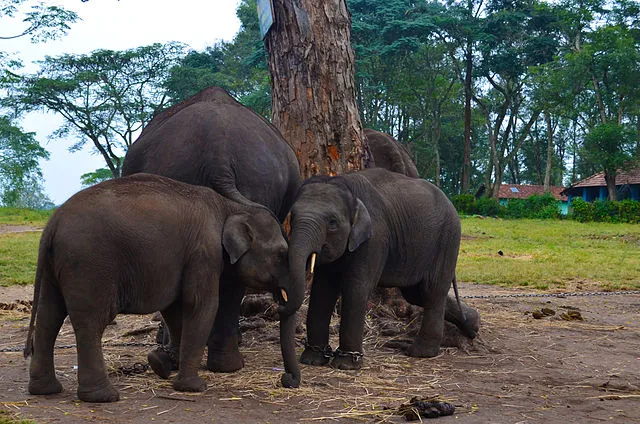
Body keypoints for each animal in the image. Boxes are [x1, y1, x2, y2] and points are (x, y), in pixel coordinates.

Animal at [25, 174, 302, 402]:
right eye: (281, 254)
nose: (286, 380)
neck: (231, 207)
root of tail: (52, 224)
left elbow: (175, 308)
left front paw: (162, 364)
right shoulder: (204, 252)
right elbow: (201, 305)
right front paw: (193, 387)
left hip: (54, 268)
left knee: (49, 316)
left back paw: (45, 390)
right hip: (89, 264)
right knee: (91, 322)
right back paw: (103, 397)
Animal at [284, 167, 476, 370]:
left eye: (332, 222)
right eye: (292, 217)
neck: (347, 186)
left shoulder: (375, 238)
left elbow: (356, 288)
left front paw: (346, 365)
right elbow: (322, 289)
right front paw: (312, 360)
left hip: (448, 240)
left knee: (432, 291)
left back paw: (422, 353)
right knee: (416, 294)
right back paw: (473, 325)